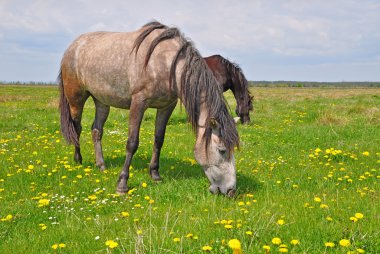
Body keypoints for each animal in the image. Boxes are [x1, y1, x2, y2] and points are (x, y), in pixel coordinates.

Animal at [58, 21, 239, 196]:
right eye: (222, 150)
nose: (231, 191)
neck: (166, 63)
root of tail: (73, 46)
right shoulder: (138, 103)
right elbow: (132, 143)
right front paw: (122, 184)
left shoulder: (166, 107)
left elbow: (159, 139)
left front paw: (155, 174)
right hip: (76, 99)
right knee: (76, 128)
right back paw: (78, 160)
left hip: (102, 101)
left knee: (96, 130)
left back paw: (101, 165)